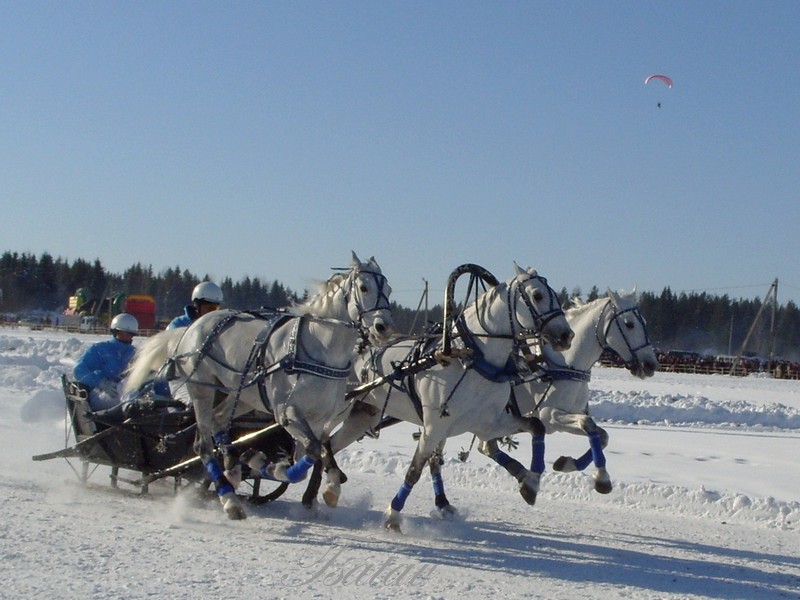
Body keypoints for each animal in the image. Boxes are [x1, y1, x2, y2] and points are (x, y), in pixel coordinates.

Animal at [124, 251, 394, 516]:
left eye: (389, 290)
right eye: (364, 287)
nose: (384, 327)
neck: (320, 350)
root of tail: (192, 327)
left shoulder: (320, 418)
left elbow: (317, 453)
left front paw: (329, 488)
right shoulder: (287, 412)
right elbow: (311, 453)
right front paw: (275, 468)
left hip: (241, 395)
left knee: (219, 420)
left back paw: (233, 469)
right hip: (202, 389)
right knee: (203, 444)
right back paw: (229, 498)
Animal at [314, 262, 576, 528]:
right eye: (538, 295)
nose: (567, 335)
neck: (472, 359)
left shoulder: (488, 423)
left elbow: (536, 426)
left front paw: (529, 482)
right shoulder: (433, 427)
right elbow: (415, 469)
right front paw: (393, 515)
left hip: (364, 415)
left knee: (328, 445)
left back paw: (321, 493)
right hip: (339, 407)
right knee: (319, 442)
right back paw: (319, 492)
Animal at [484, 288, 660, 494]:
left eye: (644, 322)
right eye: (629, 324)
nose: (650, 364)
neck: (564, 366)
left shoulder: (565, 418)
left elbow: (603, 436)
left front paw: (567, 464)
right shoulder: (549, 416)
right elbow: (588, 424)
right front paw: (602, 478)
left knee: (486, 446)